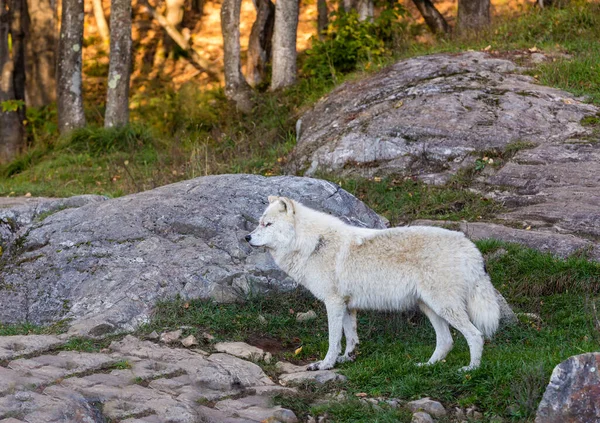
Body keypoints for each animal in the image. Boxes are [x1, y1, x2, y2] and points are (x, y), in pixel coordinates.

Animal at [245, 196, 502, 372]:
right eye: (259, 223)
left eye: (268, 224)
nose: (246, 237)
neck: (312, 243)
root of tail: (471, 247)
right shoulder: (347, 305)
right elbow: (351, 338)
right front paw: (347, 359)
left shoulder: (333, 303)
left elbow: (333, 340)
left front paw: (326, 364)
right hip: (430, 308)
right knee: (447, 342)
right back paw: (427, 366)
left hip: (444, 307)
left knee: (475, 335)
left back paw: (470, 370)